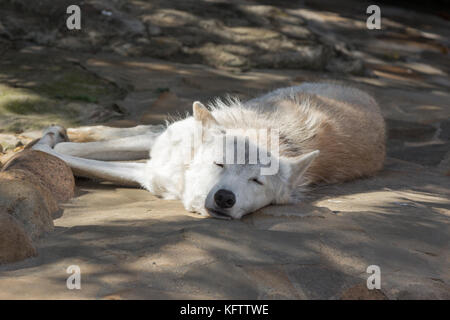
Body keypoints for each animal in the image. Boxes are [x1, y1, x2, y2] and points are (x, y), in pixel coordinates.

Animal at [33, 81, 384, 219]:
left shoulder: (147, 175)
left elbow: (63, 156)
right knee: (139, 130)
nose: (225, 198)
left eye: (257, 181)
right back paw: (55, 130)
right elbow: (63, 150)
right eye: (219, 164)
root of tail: (369, 97)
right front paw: (42, 141)